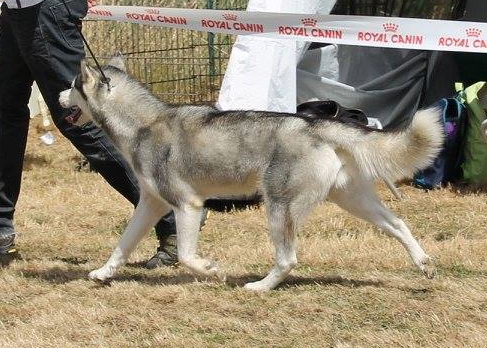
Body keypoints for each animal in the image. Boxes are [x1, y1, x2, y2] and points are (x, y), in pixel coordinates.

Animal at [59, 57, 444, 290]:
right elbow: (122, 245)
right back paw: (423, 264)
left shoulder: (187, 205)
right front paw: (103, 273)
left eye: (74, 84)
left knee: (288, 259)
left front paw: (211, 271)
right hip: (353, 201)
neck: (143, 124)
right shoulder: (151, 205)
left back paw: (259, 287)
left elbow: (186, 256)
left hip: (278, 207)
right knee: (399, 224)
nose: (60, 96)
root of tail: (317, 124)